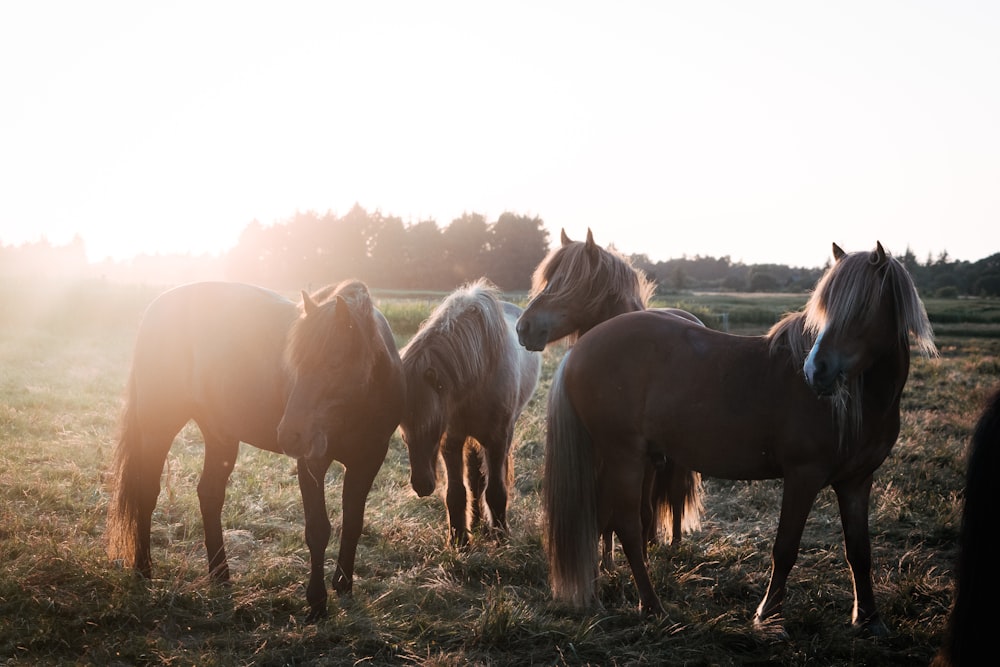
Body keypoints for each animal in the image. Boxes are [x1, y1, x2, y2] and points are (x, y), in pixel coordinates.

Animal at [544, 243, 932, 636]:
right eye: (825, 308)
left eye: (863, 308)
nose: (815, 370)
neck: (862, 401)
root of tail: (581, 348)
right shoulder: (802, 477)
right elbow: (786, 548)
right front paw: (768, 615)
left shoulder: (857, 481)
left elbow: (859, 552)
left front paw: (869, 618)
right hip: (624, 457)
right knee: (626, 526)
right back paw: (652, 606)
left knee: (601, 519)